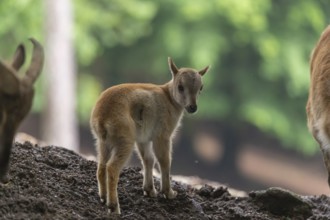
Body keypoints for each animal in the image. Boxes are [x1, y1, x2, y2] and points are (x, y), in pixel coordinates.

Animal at [90, 57, 209, 214]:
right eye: (180, 87)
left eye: (201, 88)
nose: (192, 107)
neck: (169, 98)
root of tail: (101, 117)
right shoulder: (162, 135)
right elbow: (164, 161)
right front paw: (169, 193)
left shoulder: (143, 138)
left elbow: (148, 159)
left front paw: (149, 190)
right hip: (125, 140)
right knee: (112, 167)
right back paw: (114, 206)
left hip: (103, 142)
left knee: (101, 166)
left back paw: (103, 198)